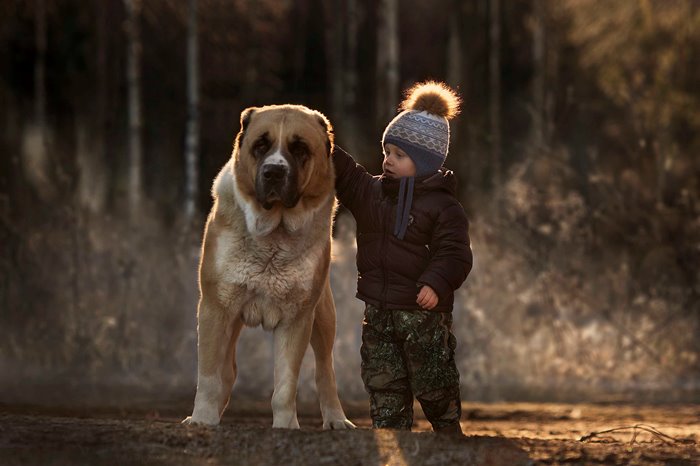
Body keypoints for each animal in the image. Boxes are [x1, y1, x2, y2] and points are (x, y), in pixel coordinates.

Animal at [182, 104, 356, 430]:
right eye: (260, 146)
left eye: (299, 148)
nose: (274, 171)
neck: (273, 235)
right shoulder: (214, 308)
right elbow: (209, 375)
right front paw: (202, 419)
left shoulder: (297, 318)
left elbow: (286, 383)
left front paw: (286, 425)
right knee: (227, 370)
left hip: (324, 317)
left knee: (325, 370)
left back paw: (337, 419)